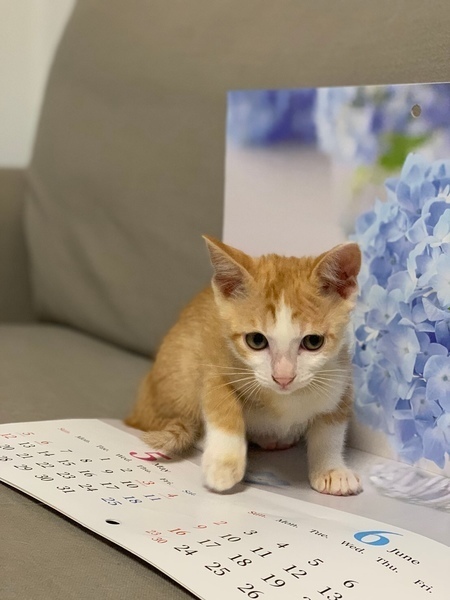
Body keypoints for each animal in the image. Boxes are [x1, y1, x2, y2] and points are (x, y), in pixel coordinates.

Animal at [125, 235, 363, 496]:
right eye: (256, 340)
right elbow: (222, 405)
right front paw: (223, 464)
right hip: (182, 366)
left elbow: (331, 428)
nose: (283, 377)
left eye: (313, 342)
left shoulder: (341, 375)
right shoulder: (215, 362)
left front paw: (332, 470)